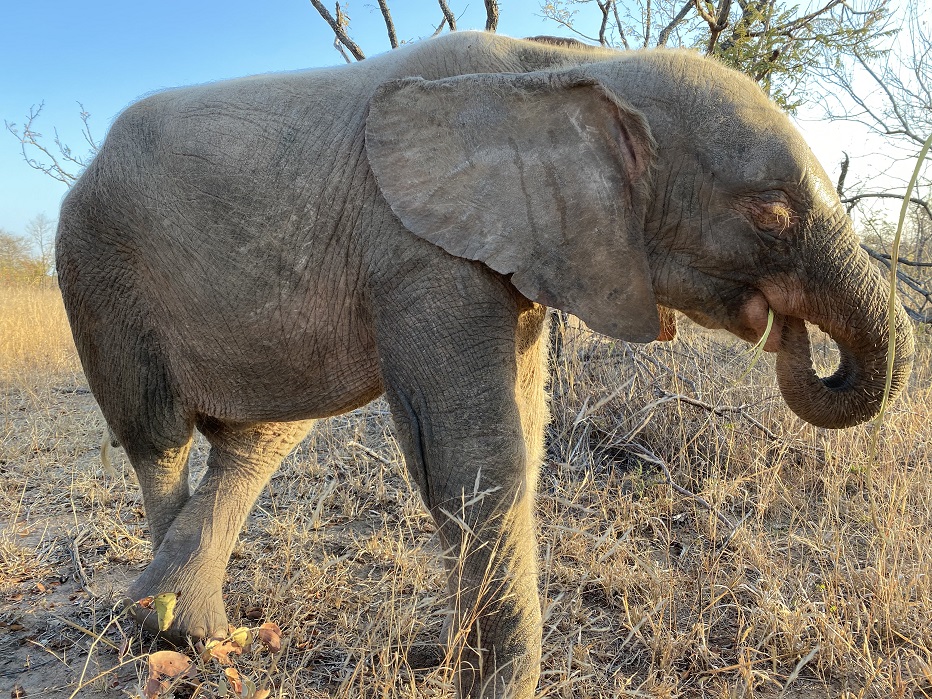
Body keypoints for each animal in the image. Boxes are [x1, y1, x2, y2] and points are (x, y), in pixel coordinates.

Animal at [56, 31, 913, 698]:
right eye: (770, 211)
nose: (786, 328)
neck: (567, 68)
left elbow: (522, 442)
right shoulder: (421, 250)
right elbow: (476, 454)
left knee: (256, 440)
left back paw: (199, 633)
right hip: (98, 266)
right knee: (159, 435)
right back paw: (165, 639)